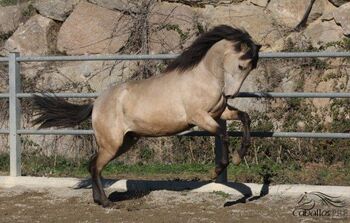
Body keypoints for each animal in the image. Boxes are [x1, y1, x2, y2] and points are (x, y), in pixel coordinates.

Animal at [32, 24, 262, 207]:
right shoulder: (199, 117)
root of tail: (96, 104)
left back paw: (99, 200)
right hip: (112, 144)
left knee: (93, 165)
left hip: (125, 142)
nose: (230, 94)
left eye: (251, 68)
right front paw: (218, 169)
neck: (203, 77)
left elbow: (245, 117)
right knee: (95, 166)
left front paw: (240, 155)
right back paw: (106, 202)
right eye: (241, 65)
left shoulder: (220, 112)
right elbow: (222, 135)